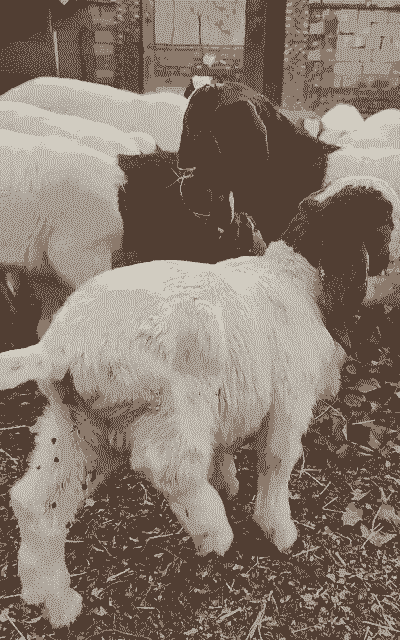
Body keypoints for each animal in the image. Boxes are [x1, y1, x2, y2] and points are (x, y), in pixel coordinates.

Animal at [2, 176, 398, 628]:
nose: (393, 260)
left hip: (79, 429)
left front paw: (228, 483)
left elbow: (225, 448)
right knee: (169, 469)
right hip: (170, 410)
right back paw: (213, 531)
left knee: (37, 504)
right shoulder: (289, 402)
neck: (294, 279)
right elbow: (277, 462)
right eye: (385, 221)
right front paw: (278, 530)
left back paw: (55, 602)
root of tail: (61, 347)